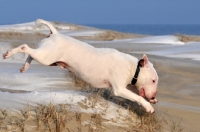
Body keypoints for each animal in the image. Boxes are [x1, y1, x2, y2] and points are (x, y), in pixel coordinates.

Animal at [3, 19, 159, 113]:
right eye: (153, 80)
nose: (153, 97)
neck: (133, 68)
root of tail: (55, 33)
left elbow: (136, 93)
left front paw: (152, 101)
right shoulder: (119, 89)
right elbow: (138, 97)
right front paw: (148, 106)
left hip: (48, 58)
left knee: (31, 53)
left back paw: (24, 67)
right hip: (46, 58)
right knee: (25, 47)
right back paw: (8, 53)